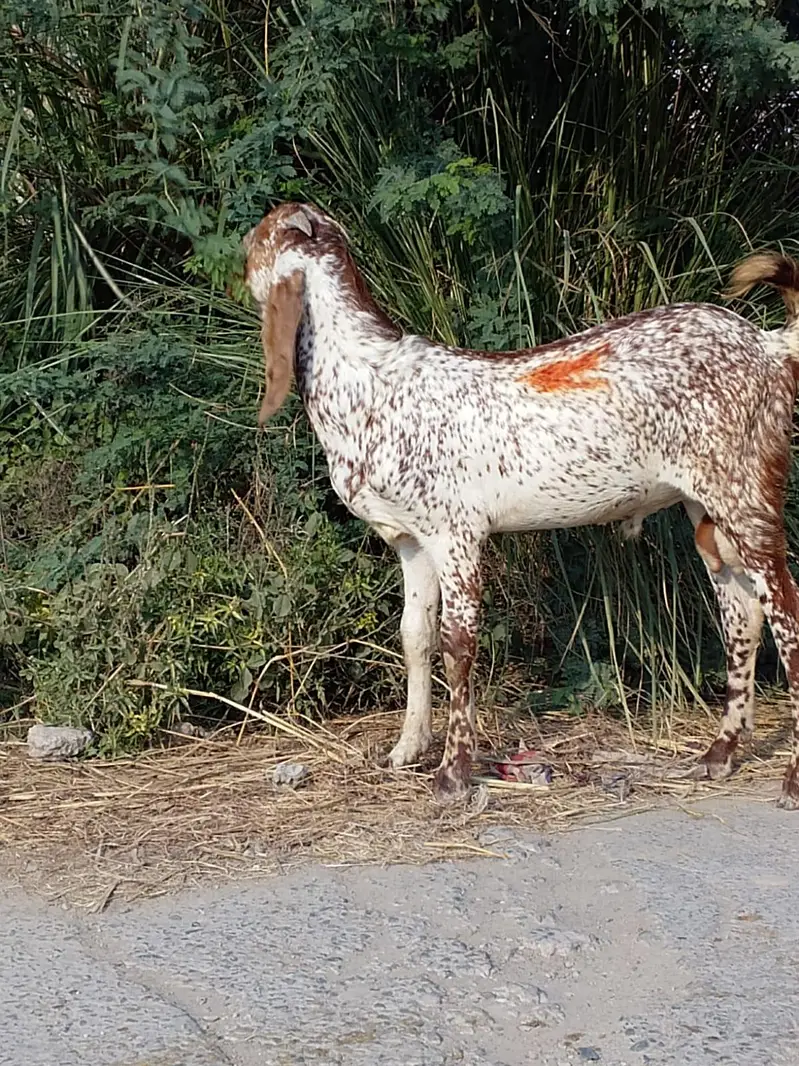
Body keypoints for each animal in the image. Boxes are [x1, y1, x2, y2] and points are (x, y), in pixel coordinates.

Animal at [243, 202, 799, 809]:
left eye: (254, 243)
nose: (235, 273)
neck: (370, 383)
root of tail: (768, 347)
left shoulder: (457, 534)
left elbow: (457, 642)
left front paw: (453, 774)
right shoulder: (411, 539)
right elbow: (415, 633)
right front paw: (407, 749)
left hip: (745, 492)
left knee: (786, 610)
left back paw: (790, 778)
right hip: (709, 508)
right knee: (741, 612)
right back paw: (719, 755)